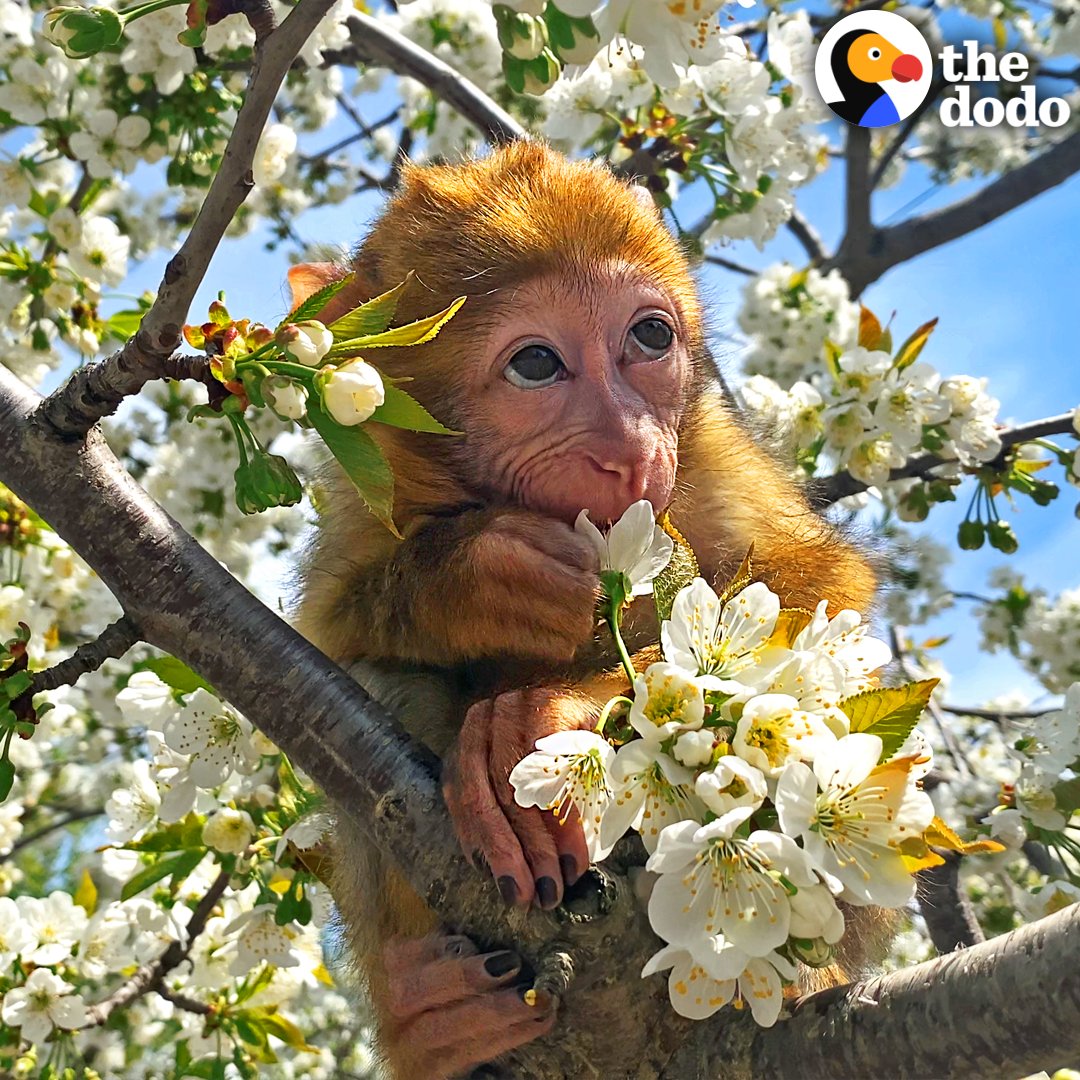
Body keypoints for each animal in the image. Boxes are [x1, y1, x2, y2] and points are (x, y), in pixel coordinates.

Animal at [291, 141, 881, 1079]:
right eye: (536, 364)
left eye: (650, 337)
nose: (629, 449)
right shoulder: (369, 485)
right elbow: (331, 627)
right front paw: (485, 577)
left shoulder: (706, 447)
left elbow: (816, 586)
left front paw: (548, 715)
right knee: (389, 684)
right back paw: (435, 1020)